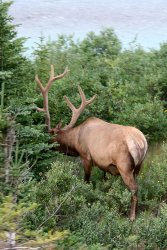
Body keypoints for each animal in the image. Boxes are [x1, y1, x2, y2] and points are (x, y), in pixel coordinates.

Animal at [35, 64, 147, 221]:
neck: (75, 141)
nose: (41, 149)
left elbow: (86, 181)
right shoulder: (104, 165)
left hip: (124, 165)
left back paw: (131, 216)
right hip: (138, 166)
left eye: (49, 139)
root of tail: (141, 142)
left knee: (134, 188)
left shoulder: (86, 156)